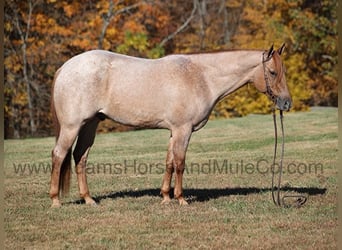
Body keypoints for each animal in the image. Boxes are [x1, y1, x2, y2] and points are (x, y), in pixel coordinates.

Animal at [50, 44, 292, 207]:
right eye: (272, 72)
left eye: (284, 72)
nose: (287, 103)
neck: (201, 77)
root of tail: (64, 68)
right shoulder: (183, 130)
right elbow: (180, 163)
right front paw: (181, 199)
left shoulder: (174, 131)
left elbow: (168, 162)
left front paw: (166, 197)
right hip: (72, 126)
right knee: (59, 155)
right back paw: (55, 200)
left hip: (90, 125)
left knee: (80, 156)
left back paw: (88, 199)